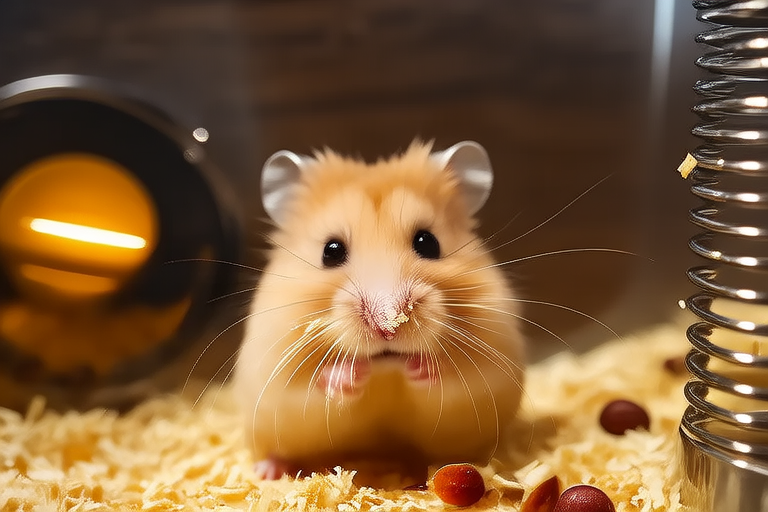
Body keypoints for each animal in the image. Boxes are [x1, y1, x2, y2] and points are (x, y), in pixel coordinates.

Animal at [233, 140, 525, 481]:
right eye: (331, 251)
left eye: (428, 242)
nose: (388, 325)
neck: (386, 371)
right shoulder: (276, 372)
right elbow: (315, 384)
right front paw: (353, 372)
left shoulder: (489, 370)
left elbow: (454, 377)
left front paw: (419, 365)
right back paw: (267, 472)